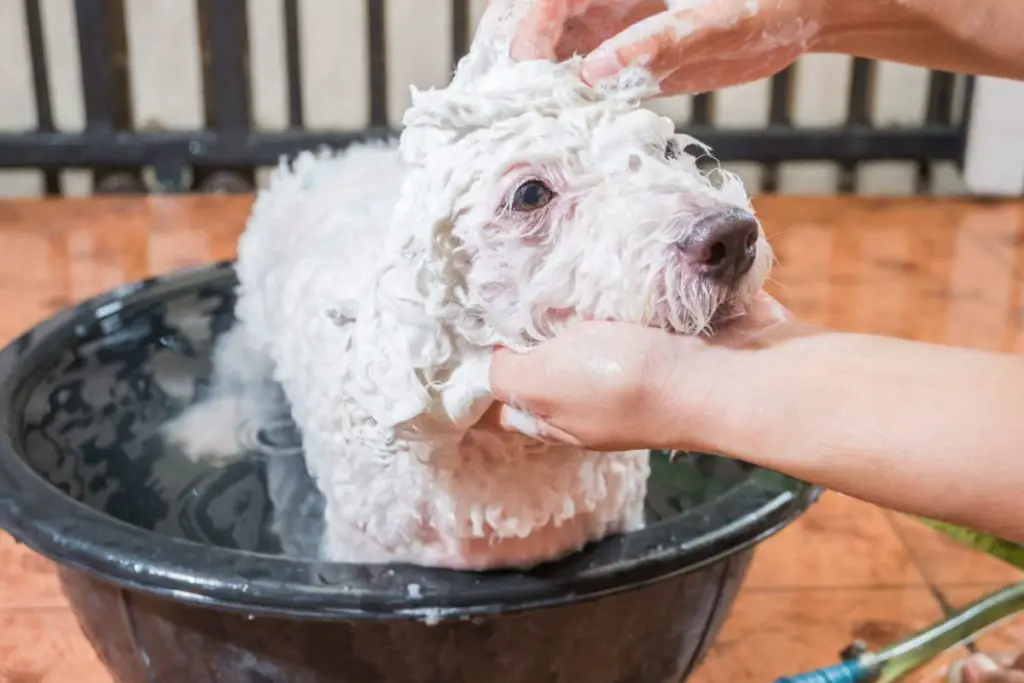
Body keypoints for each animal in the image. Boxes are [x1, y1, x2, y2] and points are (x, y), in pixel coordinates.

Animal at [163, 17, 770, 573]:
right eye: (530, 194)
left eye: (666, 148)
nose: (731, 237)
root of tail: (333, 156)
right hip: (254, 316)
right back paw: (209, 430)